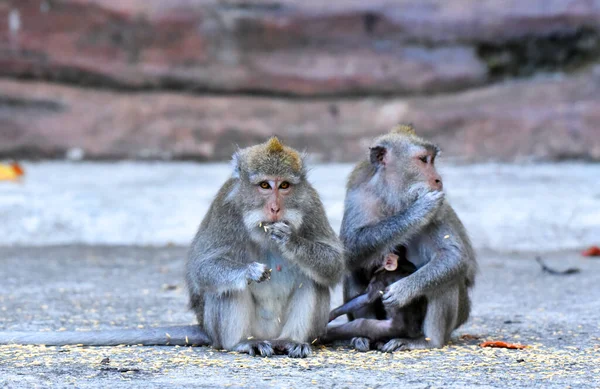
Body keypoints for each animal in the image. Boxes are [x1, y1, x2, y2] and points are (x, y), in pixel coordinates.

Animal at [340, 124, 476, 352]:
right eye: (423, 160)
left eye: (432, 160)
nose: (438, 180)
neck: (393, 198)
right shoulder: (360, 196)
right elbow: (350, 248)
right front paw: (417, 211)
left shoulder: (439, 208)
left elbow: (452, 256)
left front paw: (402, 291)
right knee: (355, 269)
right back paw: (365, 336)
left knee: (447, 277)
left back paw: (426, 341)